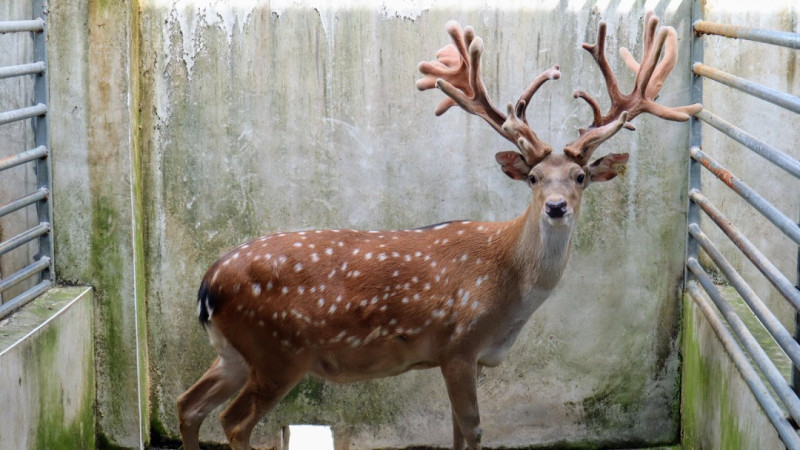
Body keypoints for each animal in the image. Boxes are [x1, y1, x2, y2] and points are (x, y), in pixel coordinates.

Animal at [177, 12, 700, 448]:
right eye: (533, 177)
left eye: (580, 177)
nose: (555, 207)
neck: (510, 292)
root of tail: (207, 285)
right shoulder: (459, 345)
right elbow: (474, 430)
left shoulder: (466, 357)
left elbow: (456, 432)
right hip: (278, 351)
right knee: (233, 421)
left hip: (234, 352)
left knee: (188, 404)